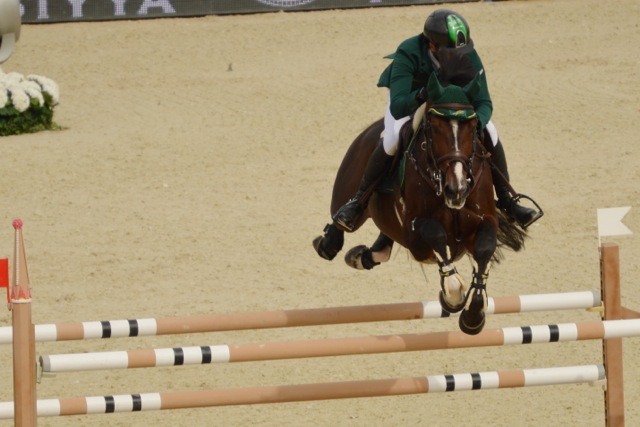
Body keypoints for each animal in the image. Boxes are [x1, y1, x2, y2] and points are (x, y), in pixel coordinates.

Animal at [312, 73, 527, 335]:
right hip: (348, 190)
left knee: (383, 243)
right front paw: (453, 295)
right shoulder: (415, 234)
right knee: (342, 217)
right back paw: (331, 241)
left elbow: (485, 248)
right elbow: (435, 234)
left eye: (472, 126)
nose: (457, 190)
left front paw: (473, 316)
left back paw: (362, 255)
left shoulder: (483, 222)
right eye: (434, 127)